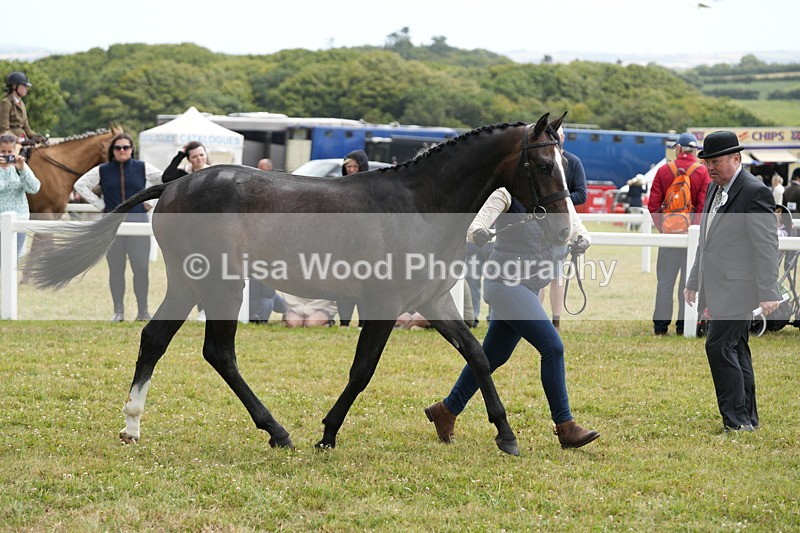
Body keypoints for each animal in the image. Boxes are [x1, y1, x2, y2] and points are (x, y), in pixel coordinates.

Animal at [24, 113, 572, 456]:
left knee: (155, 339)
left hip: (187, 283)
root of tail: (175, 183)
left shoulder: (433, 301)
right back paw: (277, 431)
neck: (418, 204)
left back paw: (132, 426)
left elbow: (478, 357)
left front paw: (506, 435)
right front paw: (327, 435)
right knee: (218, 352)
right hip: (222, 285)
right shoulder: (384, 304)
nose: (565, 231)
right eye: (544, 164)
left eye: (563, 164)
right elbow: (362, 371)